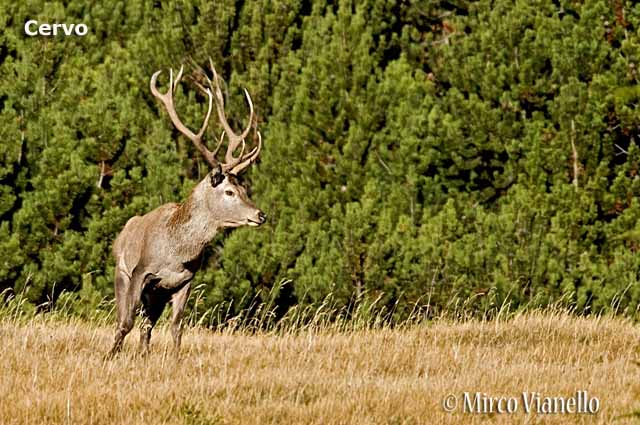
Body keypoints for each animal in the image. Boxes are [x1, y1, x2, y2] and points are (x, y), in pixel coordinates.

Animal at [108, 59, 265, 357]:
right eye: (229, 191)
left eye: (244, 189)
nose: (260, 214)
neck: (177, 253)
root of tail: (124, 230)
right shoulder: (140, 272)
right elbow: (125, 322)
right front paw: (109, 355)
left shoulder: (184, 281)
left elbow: (177, 327)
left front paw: (176, 359)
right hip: (122, 272)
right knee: (129, 319)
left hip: (157, 295)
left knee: (147, 327)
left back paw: (144, 355)